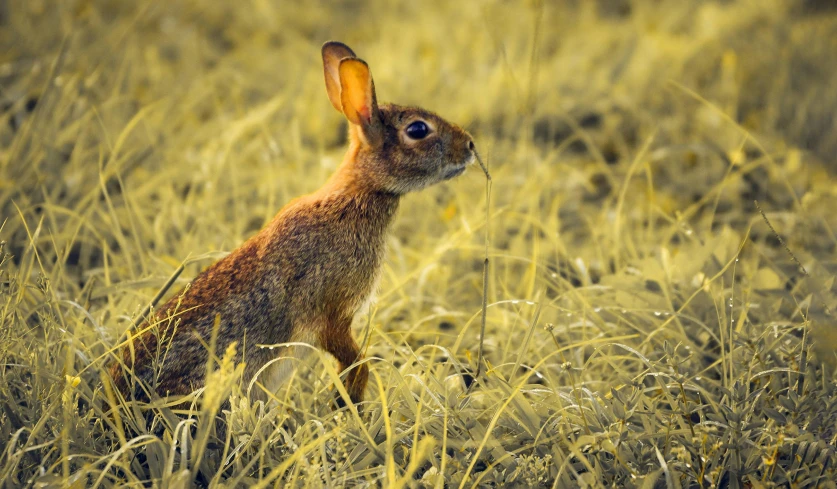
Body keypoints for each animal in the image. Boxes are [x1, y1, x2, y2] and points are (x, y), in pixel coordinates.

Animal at [109, 41, 476, 404]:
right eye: (418, 130)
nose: (470, 146)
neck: (361, 192)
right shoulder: (329, 314)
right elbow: (356, 362)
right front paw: (349, 403)